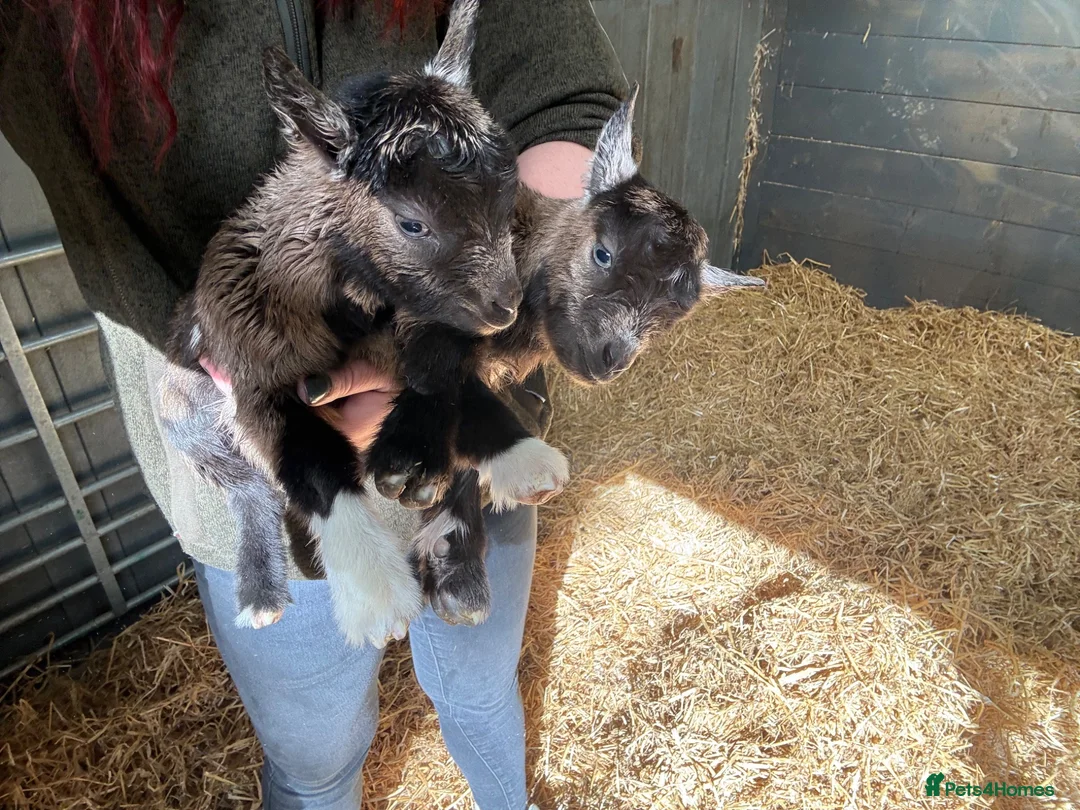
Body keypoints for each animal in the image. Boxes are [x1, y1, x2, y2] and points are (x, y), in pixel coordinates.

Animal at [160, 0, 524, 647]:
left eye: (509, 205)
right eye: (412, 223)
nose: (505, 308)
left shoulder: (424, 319)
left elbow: (443, 368)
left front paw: (416, 456)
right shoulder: (257, 374)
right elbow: (313, 465)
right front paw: (376, 594)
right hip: (185, 411)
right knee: (249, 487)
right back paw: (262, 593)